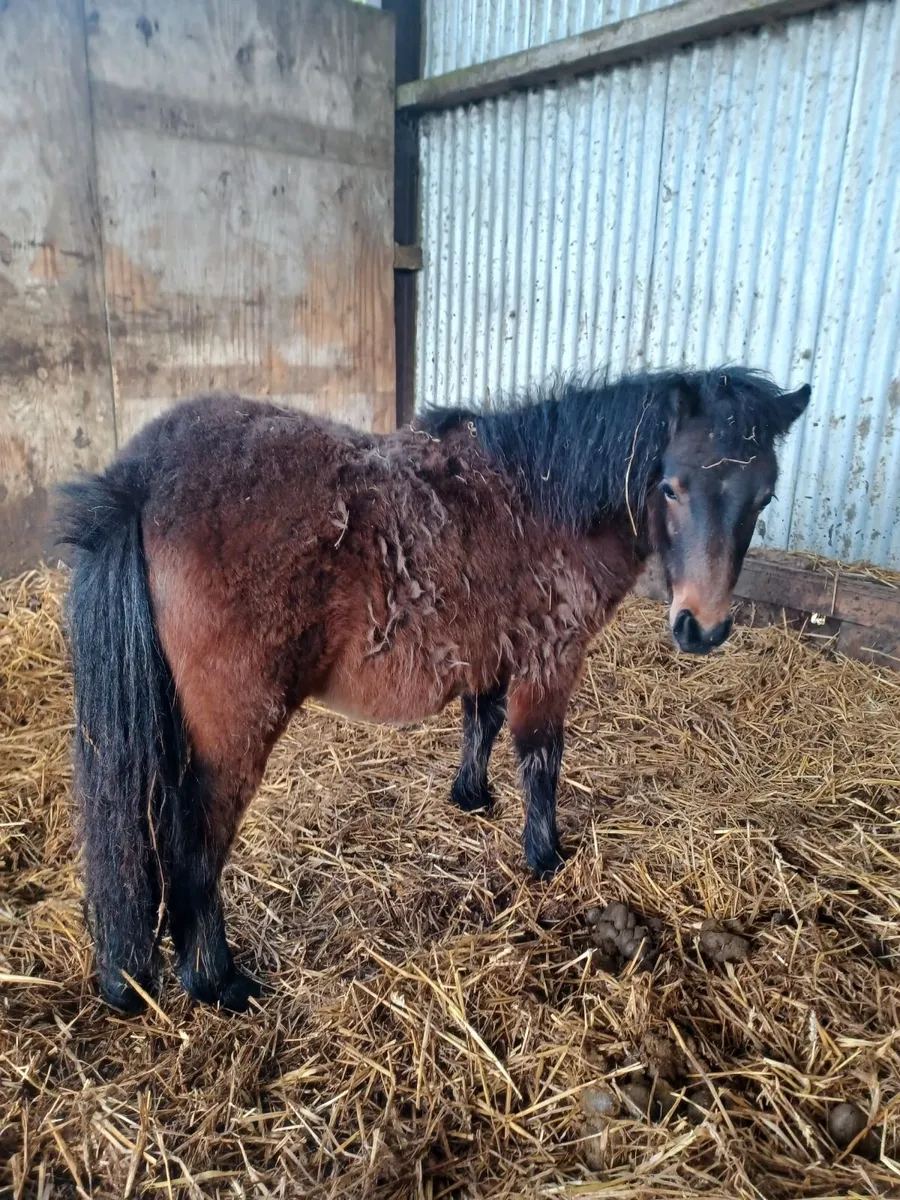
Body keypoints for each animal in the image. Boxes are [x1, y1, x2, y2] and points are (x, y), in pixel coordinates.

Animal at [55, 367, 810, 1013]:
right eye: (672, 486)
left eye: (765, 495)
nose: (702, 628)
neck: (542, 498)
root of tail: (139, 480)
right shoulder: (552, 659)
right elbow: (540, 756)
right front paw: (545, 857)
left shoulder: (490, 649)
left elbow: (482, 721)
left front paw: (472, 797)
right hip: (234, 734)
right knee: (195, 846)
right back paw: (217, 981)